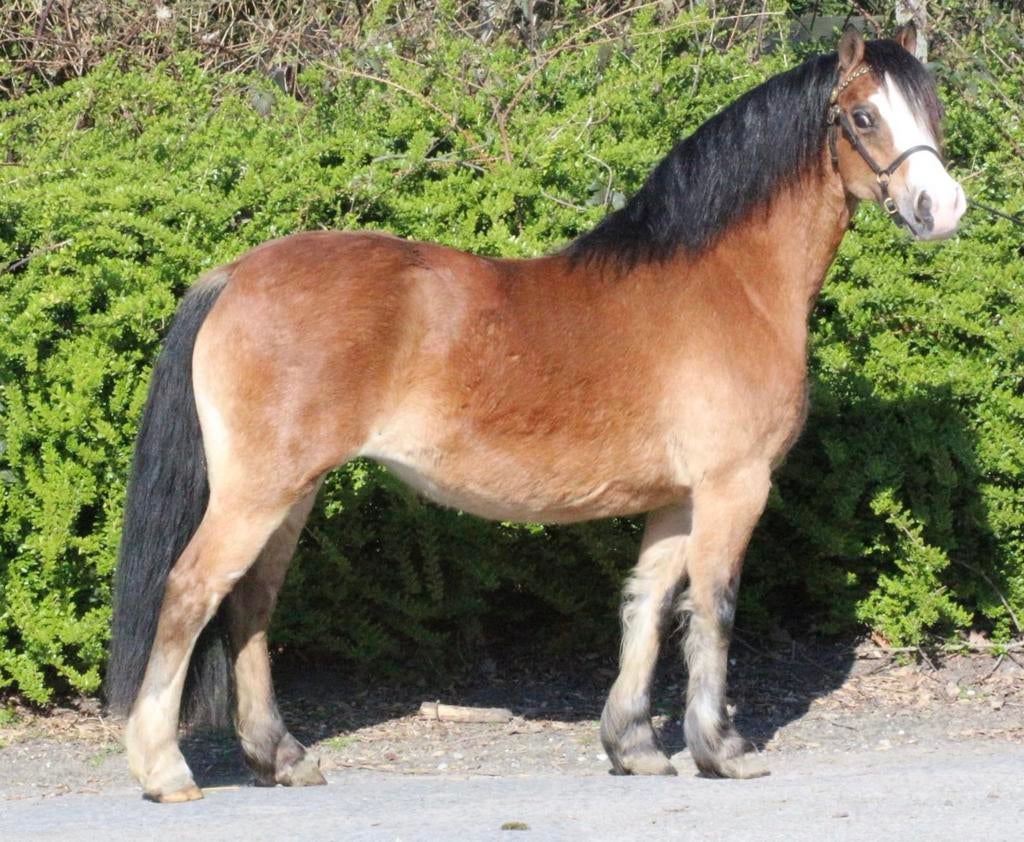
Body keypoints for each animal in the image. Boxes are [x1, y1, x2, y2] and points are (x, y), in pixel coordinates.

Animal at [107, 25, 965, 802]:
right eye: (863, 116)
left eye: (931, 109)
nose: (942, 206)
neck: (728, 283)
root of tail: (236, 274)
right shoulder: (734, 486)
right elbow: (713, 610)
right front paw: (722, 749)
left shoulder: (677, 500)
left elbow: (647, 605)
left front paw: (634, 746)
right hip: (260, 492)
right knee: (191, 593)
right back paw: (164, 769)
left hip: (291, 492)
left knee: (250, 605)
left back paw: (280, 757)